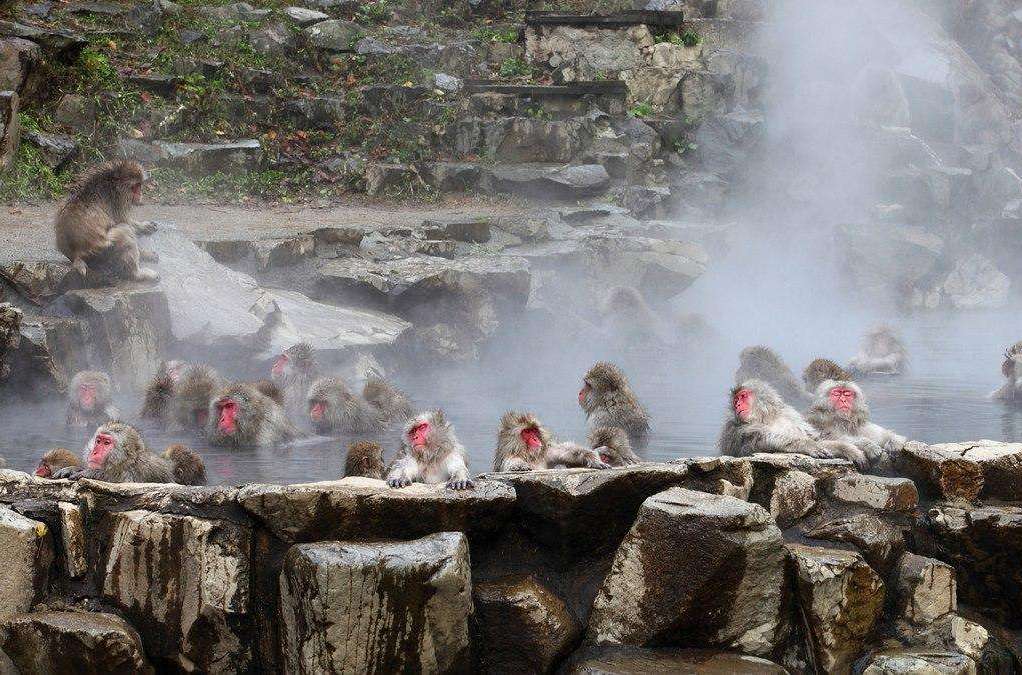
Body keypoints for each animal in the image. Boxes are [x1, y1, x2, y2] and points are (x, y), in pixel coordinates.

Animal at [718, 379, 871, 470]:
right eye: (736, 400)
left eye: (743, 396)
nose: (737, 405)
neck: (765, 417)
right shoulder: (734, 428)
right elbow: (753, 443)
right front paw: (808, 445)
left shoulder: (789, 414)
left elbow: (818, 438)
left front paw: (847, 448)